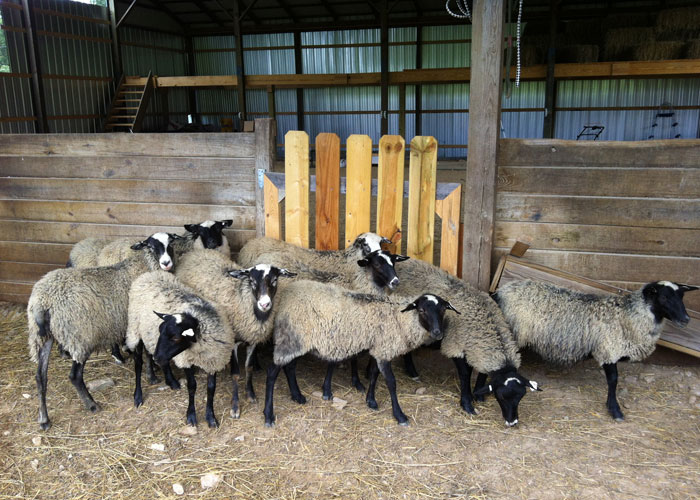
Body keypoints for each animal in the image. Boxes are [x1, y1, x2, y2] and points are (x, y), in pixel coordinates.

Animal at [27, 233, 177, 430]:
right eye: (151, 246)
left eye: (170, 243)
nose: (166, 263)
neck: (142, 265)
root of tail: (43, 301)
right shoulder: (140, 320)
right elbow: (145, 351)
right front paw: (152, 376)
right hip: (80, 337)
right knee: (74, 376)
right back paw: (92, 404)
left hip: (44, 337)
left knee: (40, 377)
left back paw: (44, 419)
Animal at [126, 271, 235, 427]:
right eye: (160, 330)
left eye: (176, 338)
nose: (157, 357)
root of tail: (147, 274)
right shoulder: (186, 360)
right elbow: (192, 386)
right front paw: (191, 416)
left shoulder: (214, 360)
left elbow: (211, 388)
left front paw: (211, 417)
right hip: (135, 329)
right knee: (138, 363)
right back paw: (138, 396)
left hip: (148, 334)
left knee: (154, 355)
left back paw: (168, 379)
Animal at [175, 249, 296, 417]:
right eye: (252, 281)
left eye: (275, 280)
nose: (264, 304)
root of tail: (194, 252)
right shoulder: (232, 342)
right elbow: (236, 373)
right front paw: (235, 406)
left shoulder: (252, 340)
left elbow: (248, 367)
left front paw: (250, 394)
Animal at [263, 279, 460, 426]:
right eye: (421, 310)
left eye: (442, 310)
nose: (438, 333)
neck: (399, 316)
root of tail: (287, 293)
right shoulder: (385, 349)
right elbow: (391, 383)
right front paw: (399, 415)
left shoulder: (377, 348)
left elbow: (373, 374)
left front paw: (370, 401)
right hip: (290, 338)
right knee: (272, 373)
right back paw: (268, 415)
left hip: (295, 340)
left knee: (289, 368)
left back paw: (297, 396)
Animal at [495, 279, 699, 421]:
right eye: (664, 297)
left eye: (681, 297)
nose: (686, 319)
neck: (630, 316)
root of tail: (500, 291)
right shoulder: (609, 349)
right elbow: (613, 380)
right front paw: (615, 410)